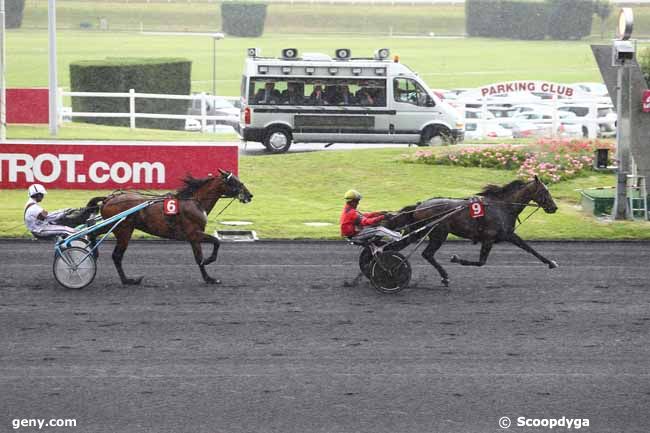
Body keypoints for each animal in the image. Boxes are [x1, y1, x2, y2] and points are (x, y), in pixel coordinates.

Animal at [92, 170, 252, 286]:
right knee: (117, 256)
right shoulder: (194, 233)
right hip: (123, 230)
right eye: (235, 181)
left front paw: (209, 278)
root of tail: (108, 199)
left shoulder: (194, 238)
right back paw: (128, 280)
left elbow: (198, 257)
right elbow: (216, 242)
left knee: (93, 233)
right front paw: (208, 262)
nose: (249, 195)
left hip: (112, 225)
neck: (195, 202)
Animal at [384, 176, 556, 286]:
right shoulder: (489, 238)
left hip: (422, 231)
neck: (502, 206)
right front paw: (456, 259)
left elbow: (529, 248)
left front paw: (551, 262)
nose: (554, 208)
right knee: (426, 253)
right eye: (544, 192)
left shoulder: (508, 235)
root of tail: (420, 205)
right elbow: (481, 262)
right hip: (439, 233)